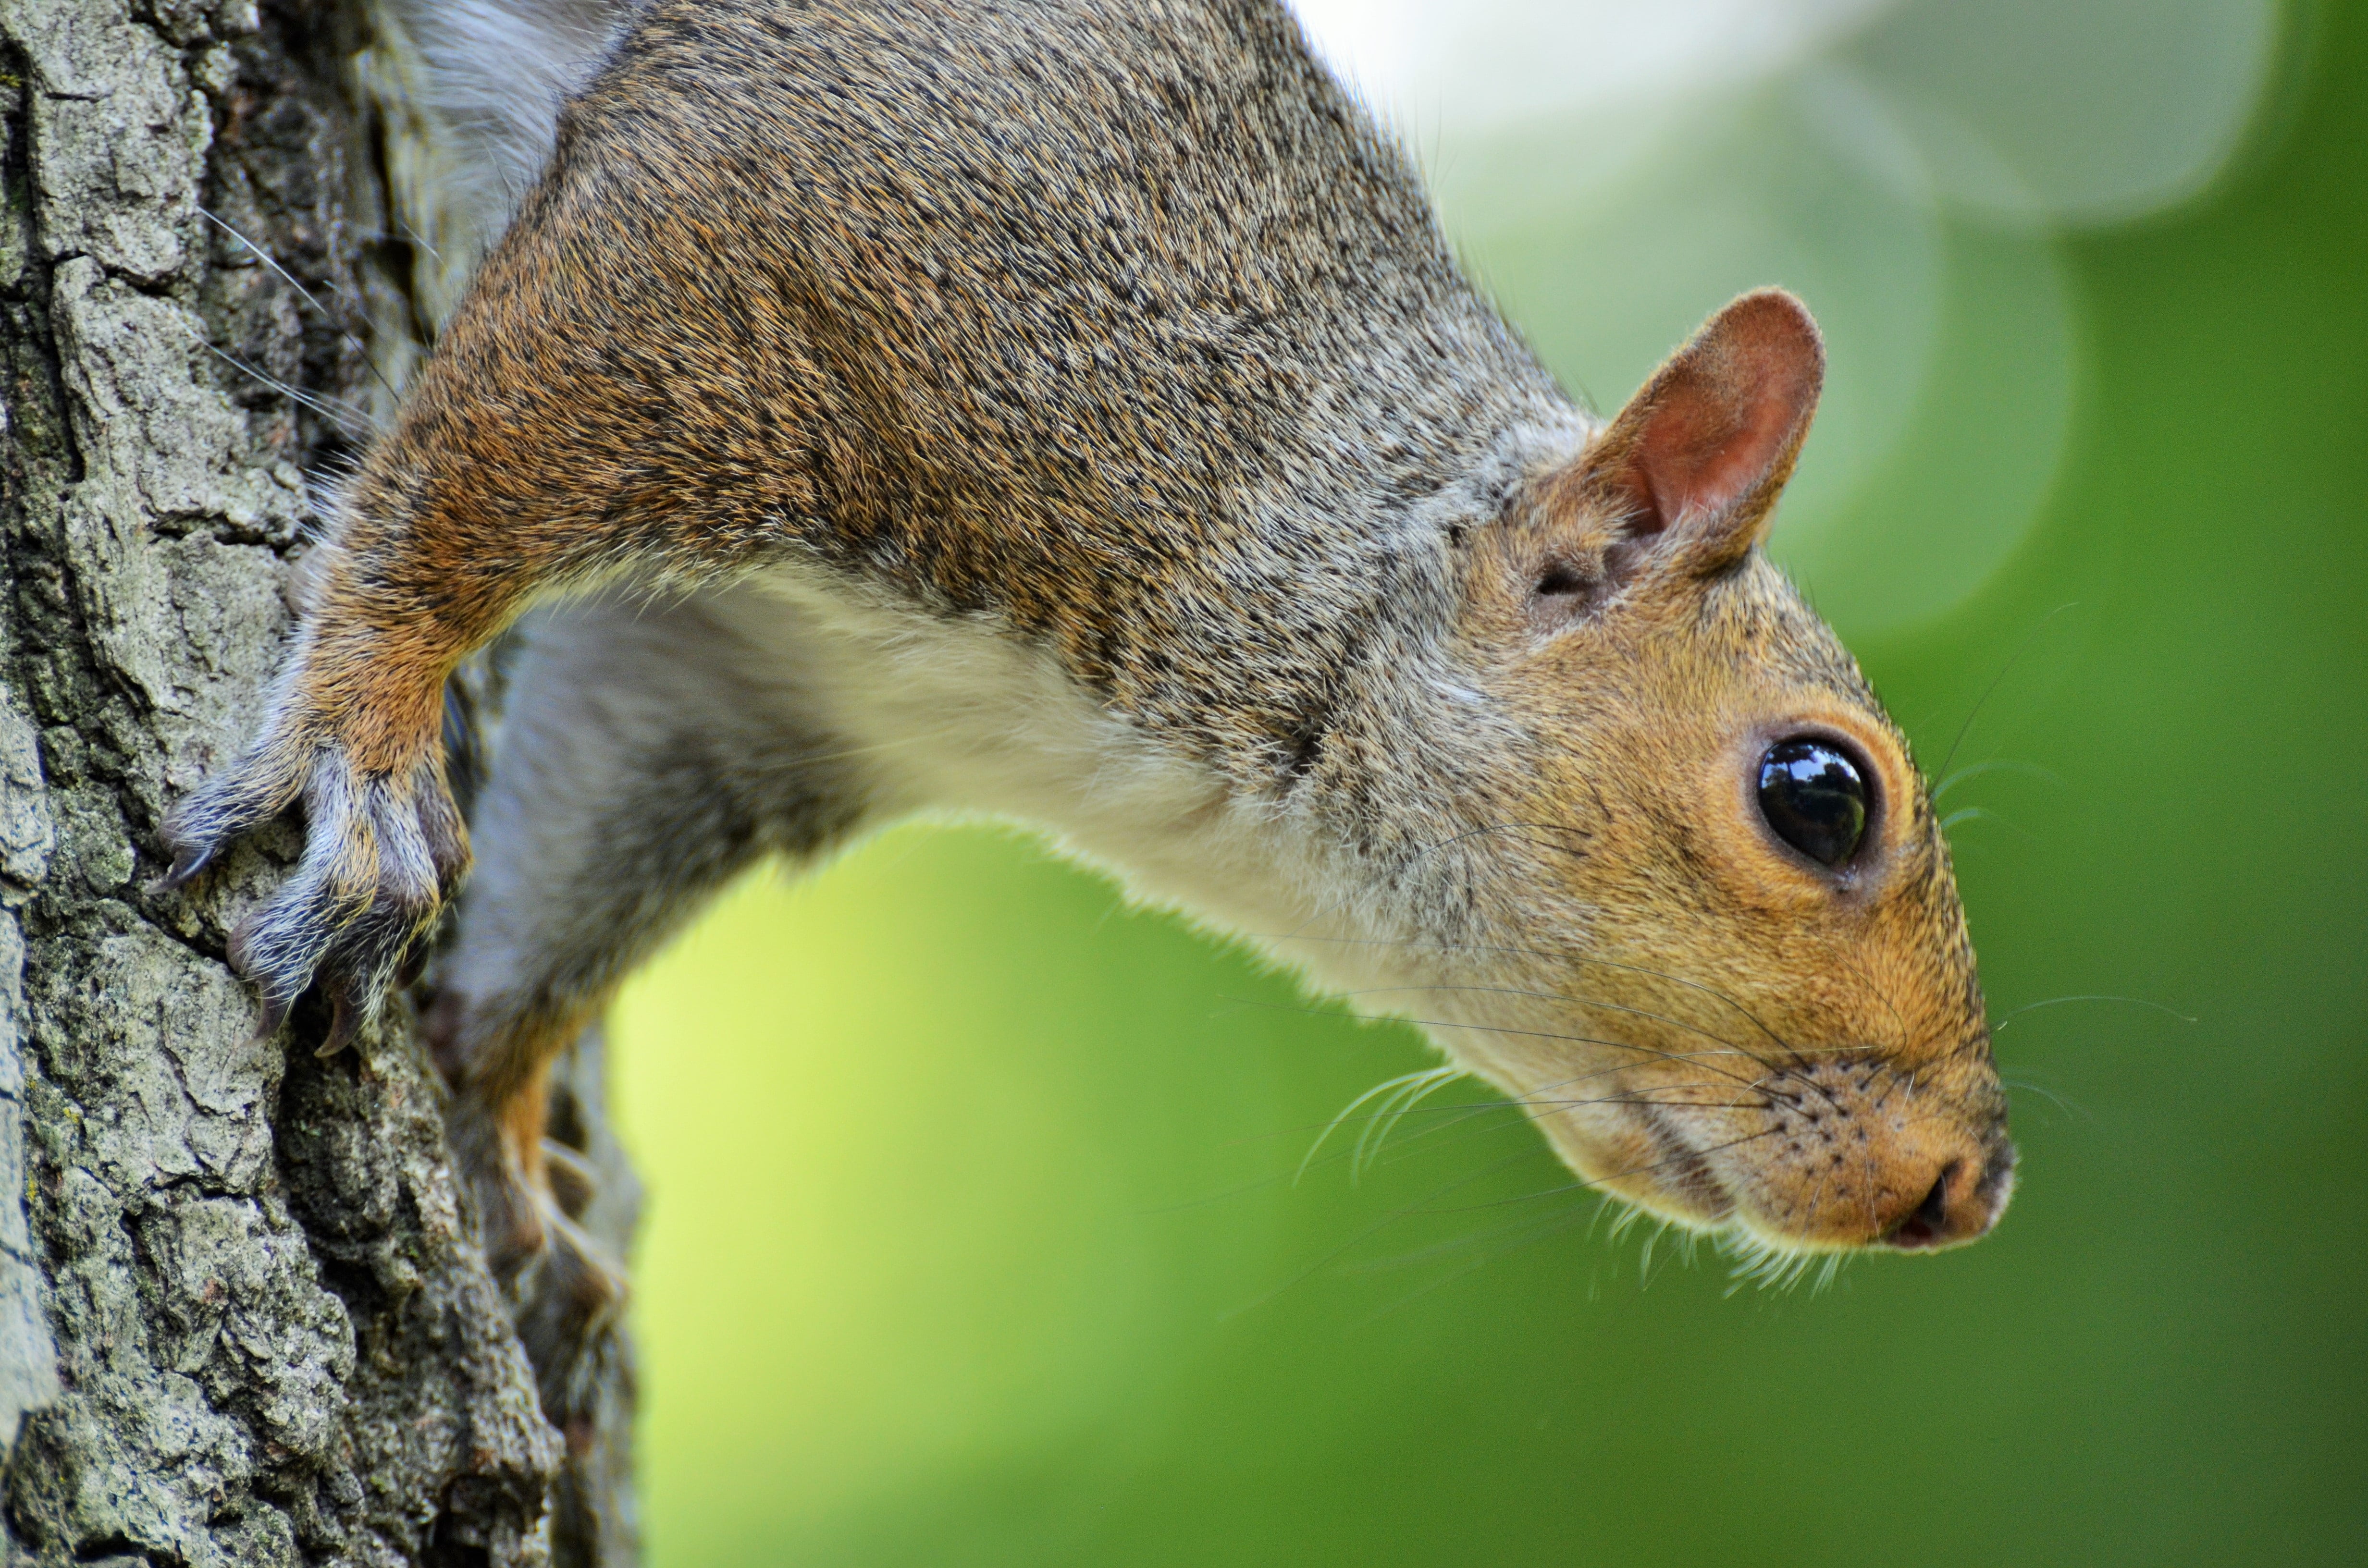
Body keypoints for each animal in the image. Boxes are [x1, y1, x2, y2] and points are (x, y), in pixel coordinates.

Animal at [163, 0, 2016, 1419]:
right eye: (1817, 793)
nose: (1966, 1187)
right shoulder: (790, 214)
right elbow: (452, 492)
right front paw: (368, 735)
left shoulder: (740, 690)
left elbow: (567, 897)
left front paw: (502, 1120)